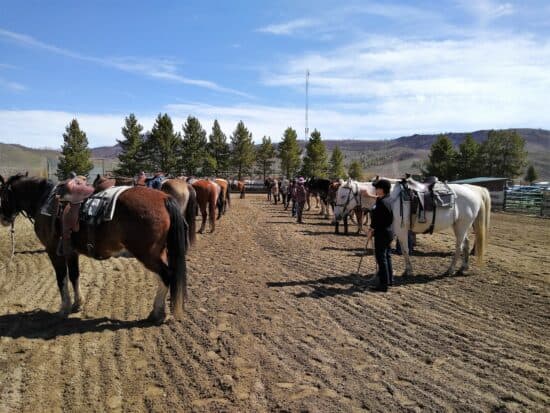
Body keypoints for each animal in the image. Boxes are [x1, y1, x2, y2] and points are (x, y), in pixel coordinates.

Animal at [0, 172, 188, 320]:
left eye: (2, 195)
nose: (3, 219)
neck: (44, 201)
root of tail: (164, 198)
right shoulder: (71, 252)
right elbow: (74, 275)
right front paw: (78, 304)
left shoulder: (53, 251)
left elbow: (61, 278)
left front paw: (64, 308)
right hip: (158, 253)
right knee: (164, 277)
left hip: (147, 254)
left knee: (166, 275)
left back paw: (156, 312)